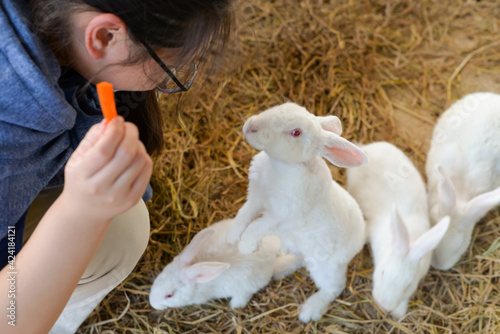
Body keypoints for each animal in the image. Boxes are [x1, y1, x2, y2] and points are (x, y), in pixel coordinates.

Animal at [146, 219, 298, 310]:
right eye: (158, 278)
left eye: (169, 295)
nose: (152, 303)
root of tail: (272, 252)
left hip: (246, 286)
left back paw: (234, 305)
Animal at [227, 102, 368, 324]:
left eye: (296, 132)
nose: (251, 126)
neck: (281, 167)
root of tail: (362, 236)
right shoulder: (255, 198)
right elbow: (244, 215)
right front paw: (232, 237)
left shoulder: (279, 217)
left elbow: (256, 226)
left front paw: (245, 247)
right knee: (300, 258)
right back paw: (279, 266)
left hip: (325, 268)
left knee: (334, 287)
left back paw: (309, 311)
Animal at [348, 141, 450, 318]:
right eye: (382, 272)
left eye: (408, 285)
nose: (384, 304)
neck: (408, 242)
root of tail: (368, 147)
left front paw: (398, 312)